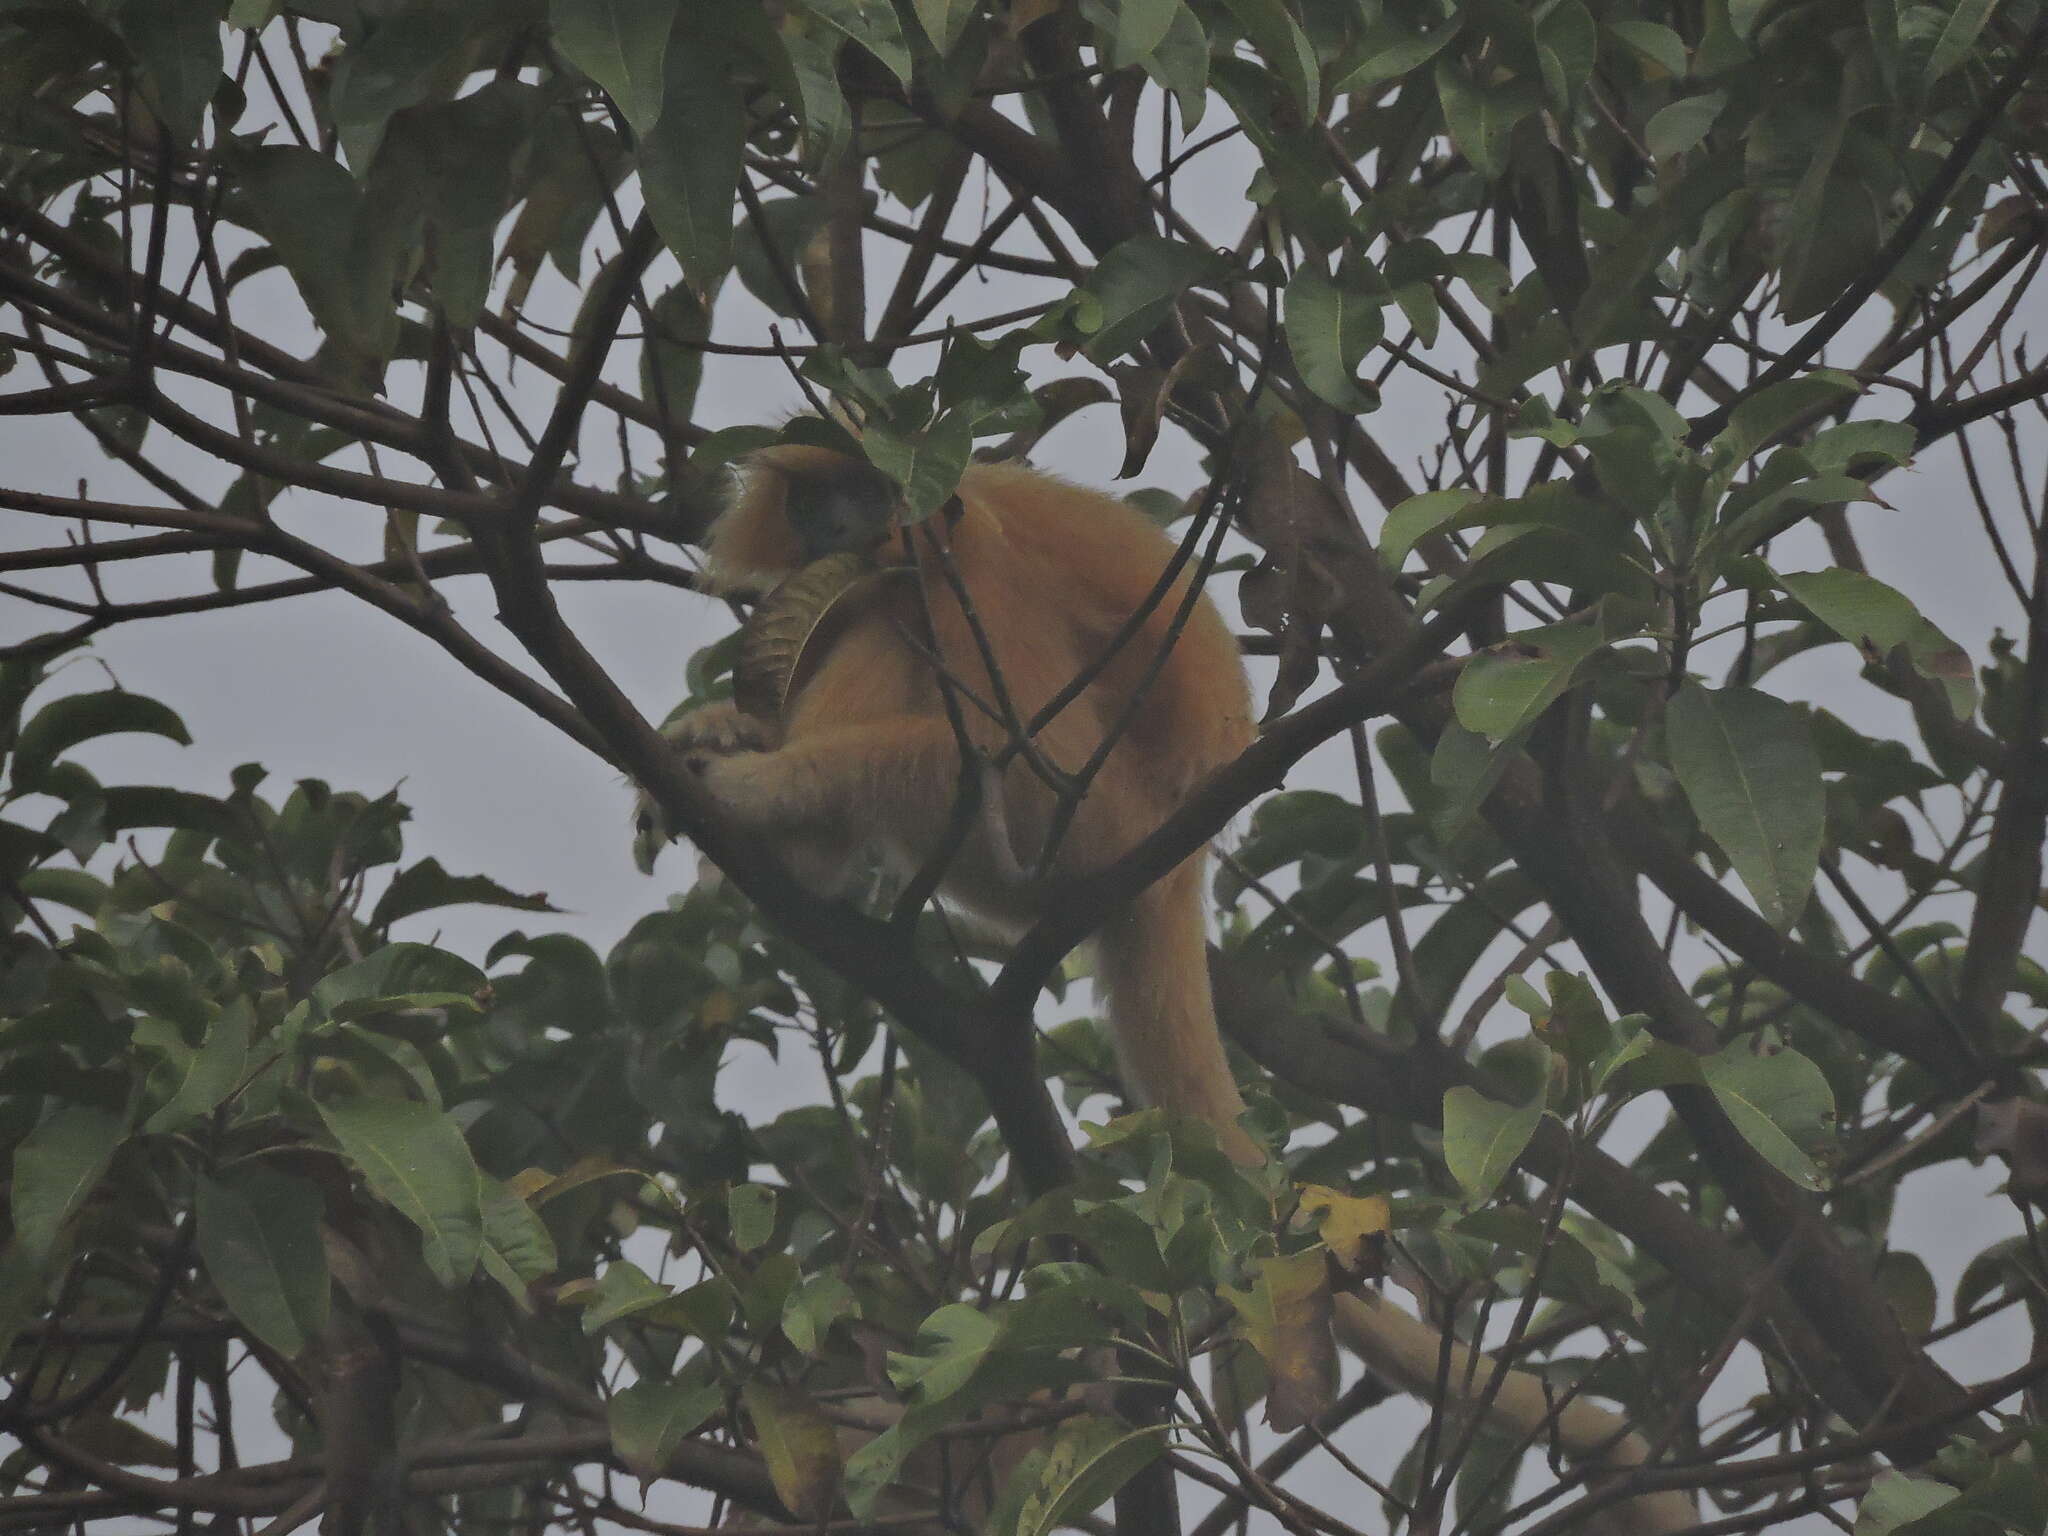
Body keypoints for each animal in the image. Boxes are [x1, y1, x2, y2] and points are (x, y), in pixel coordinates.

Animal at [655, 444, 1261, 1163]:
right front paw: (717, 730)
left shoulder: (972, 564)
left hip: (1101, 821)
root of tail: (1180, 869)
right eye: (808, 502)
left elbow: (1020, 754)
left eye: (869, 491)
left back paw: (799, 854)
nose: (834, 530)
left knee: (894, 634)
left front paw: (756, 784)